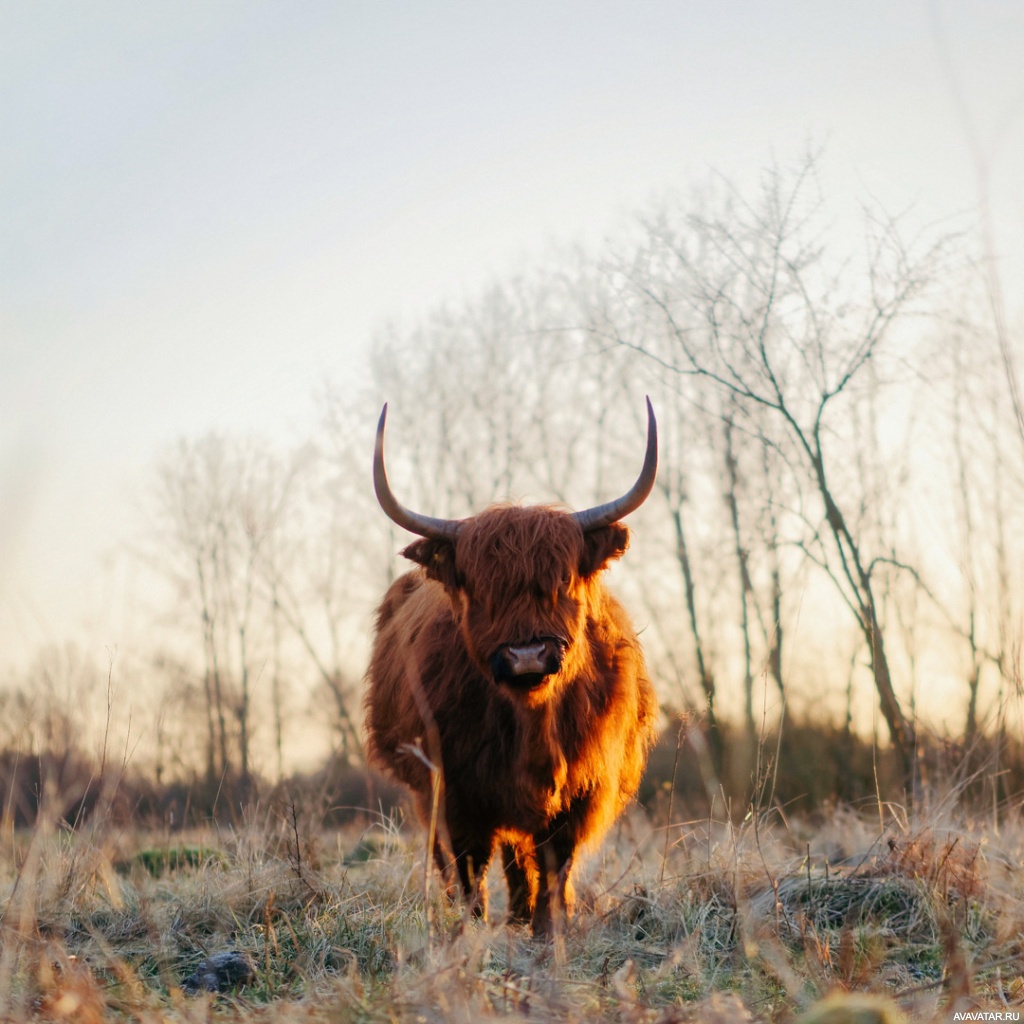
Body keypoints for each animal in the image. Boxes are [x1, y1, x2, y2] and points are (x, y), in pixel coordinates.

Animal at [364, 401, 659, 937]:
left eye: (563, 582)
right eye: (481, 590)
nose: (527, 656)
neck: (533, 724)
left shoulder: (583, 790)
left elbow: (555, 860)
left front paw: (548, 926)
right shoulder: (454, 788)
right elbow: (468, 864)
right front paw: (472, 928)